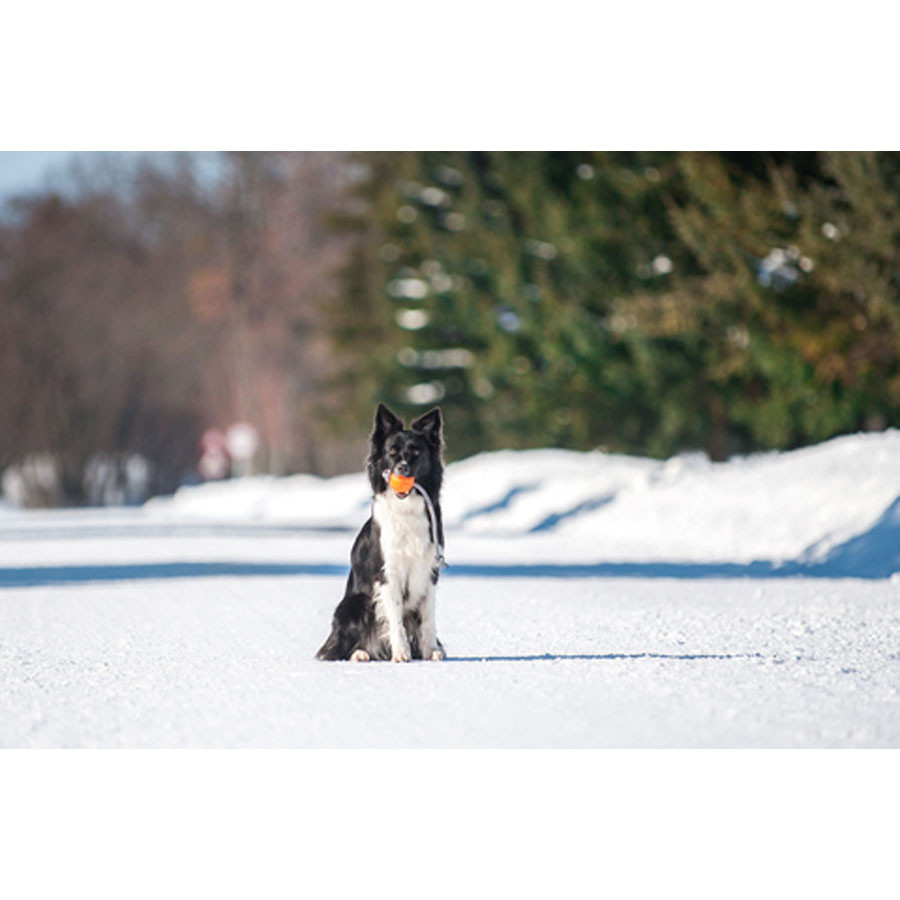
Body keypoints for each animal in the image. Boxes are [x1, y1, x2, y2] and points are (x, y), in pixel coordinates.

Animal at [316, 402, 446, 660]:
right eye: (392, 452)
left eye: (416, 452)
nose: (402, 468)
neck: (406, 508)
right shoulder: (387, 573)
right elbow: (395, 618)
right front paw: (402, 653)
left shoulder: (430, 571)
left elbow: (428, 618)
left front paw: (431, 652)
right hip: (354, 605)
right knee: (338, 648)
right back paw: (360, 654)